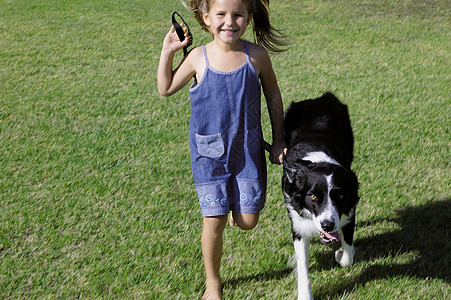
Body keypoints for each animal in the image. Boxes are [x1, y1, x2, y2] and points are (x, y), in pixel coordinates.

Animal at [282, 92, 360, 298]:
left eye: (339, 196)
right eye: (313, 197)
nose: (327, 225)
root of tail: (316, 98)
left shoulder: (349, 212)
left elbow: (347, 256)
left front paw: (340, 253)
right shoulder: (298, 224)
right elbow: (302, 266)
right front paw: (305, 295)